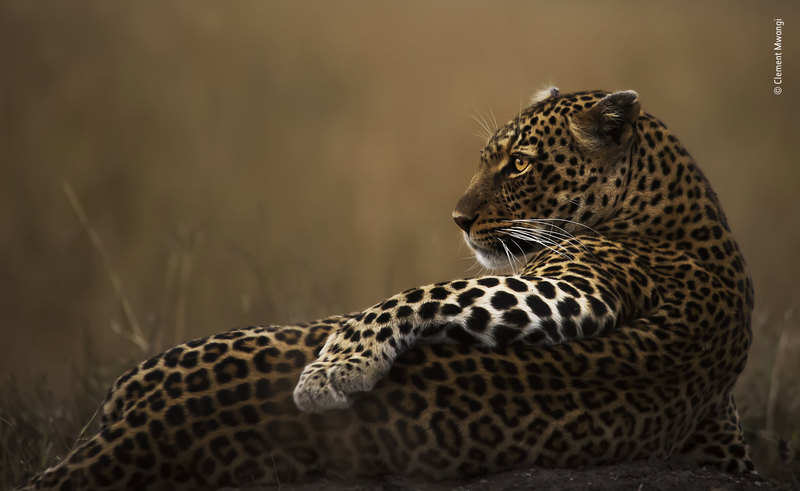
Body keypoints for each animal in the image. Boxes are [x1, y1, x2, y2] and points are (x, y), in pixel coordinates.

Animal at [20, 89, 756, 491]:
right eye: (486, 159)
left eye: (519, 164)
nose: (457, 217)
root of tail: (148, 423)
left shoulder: (582, 286)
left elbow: (426, 292)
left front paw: (334, 367)